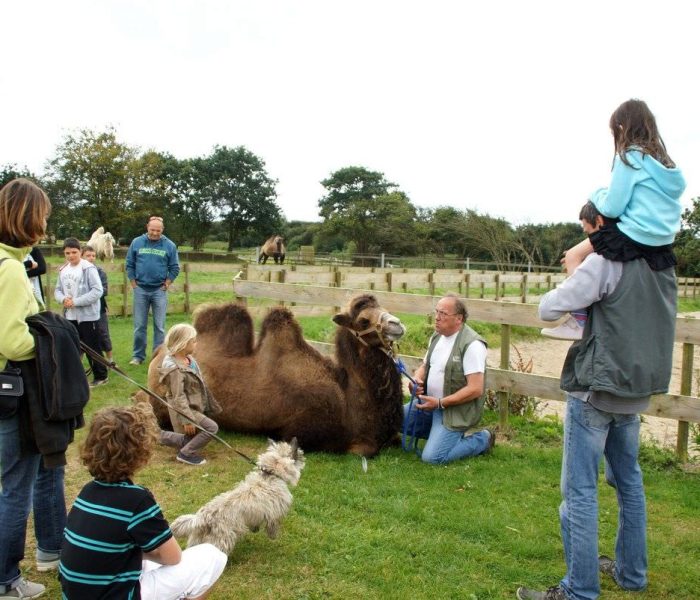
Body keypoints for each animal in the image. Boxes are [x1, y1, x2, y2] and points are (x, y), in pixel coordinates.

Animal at [171, 438, 304, 556]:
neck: (270, 474)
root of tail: (202, 518)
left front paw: (255, 529)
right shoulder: (274, 513)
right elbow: (273, 525)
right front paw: (273, 536)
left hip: (197, 539)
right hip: (222, 540)